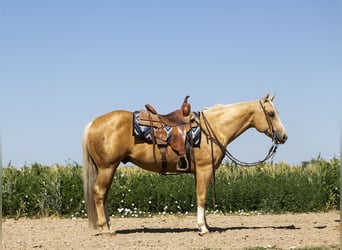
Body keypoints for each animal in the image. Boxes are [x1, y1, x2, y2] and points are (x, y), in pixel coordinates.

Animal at [81, 93, 288, 235]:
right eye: (271, 113)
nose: (284, 136)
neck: (213, 128)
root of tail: (93, 123)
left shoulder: (200, 172)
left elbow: (200, 196)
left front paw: (206, 225)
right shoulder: (205, 169)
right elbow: (202, 197)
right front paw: (203, 228)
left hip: (108, 168)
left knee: (103, 195)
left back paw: (110, 227)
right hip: (107, 167)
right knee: (99, 193)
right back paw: (106, 229)